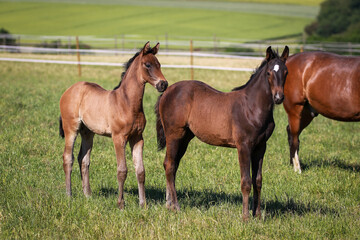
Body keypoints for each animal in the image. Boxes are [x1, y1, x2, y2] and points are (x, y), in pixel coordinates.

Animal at [59, 41, 169, 208]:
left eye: (159, 64)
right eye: (148, 65)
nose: (163, 84)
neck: (127, 103)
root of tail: (69, 90)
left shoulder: (137, 138)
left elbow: (140, 171)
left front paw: (143, 204)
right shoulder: (118, 138)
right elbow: (122, 170)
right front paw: (121, 204)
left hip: (88, 132)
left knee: (83, 160)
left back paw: (88, 195)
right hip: (71, 128)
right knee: (68, 157)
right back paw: (68, 195)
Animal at [155, 46, 290, 220]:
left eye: (286, 72)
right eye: (268, 73)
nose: (279, 97)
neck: (252, 106)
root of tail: (167, 91)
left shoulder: (261, 147)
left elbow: (258, 180)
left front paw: (258, 215)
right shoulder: (244, 146)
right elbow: (246, 182)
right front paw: (245, 217)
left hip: (184, 138)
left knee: (171, 165)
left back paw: (169, 205)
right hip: (174, 135)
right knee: (170, 165)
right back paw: (176, 207)